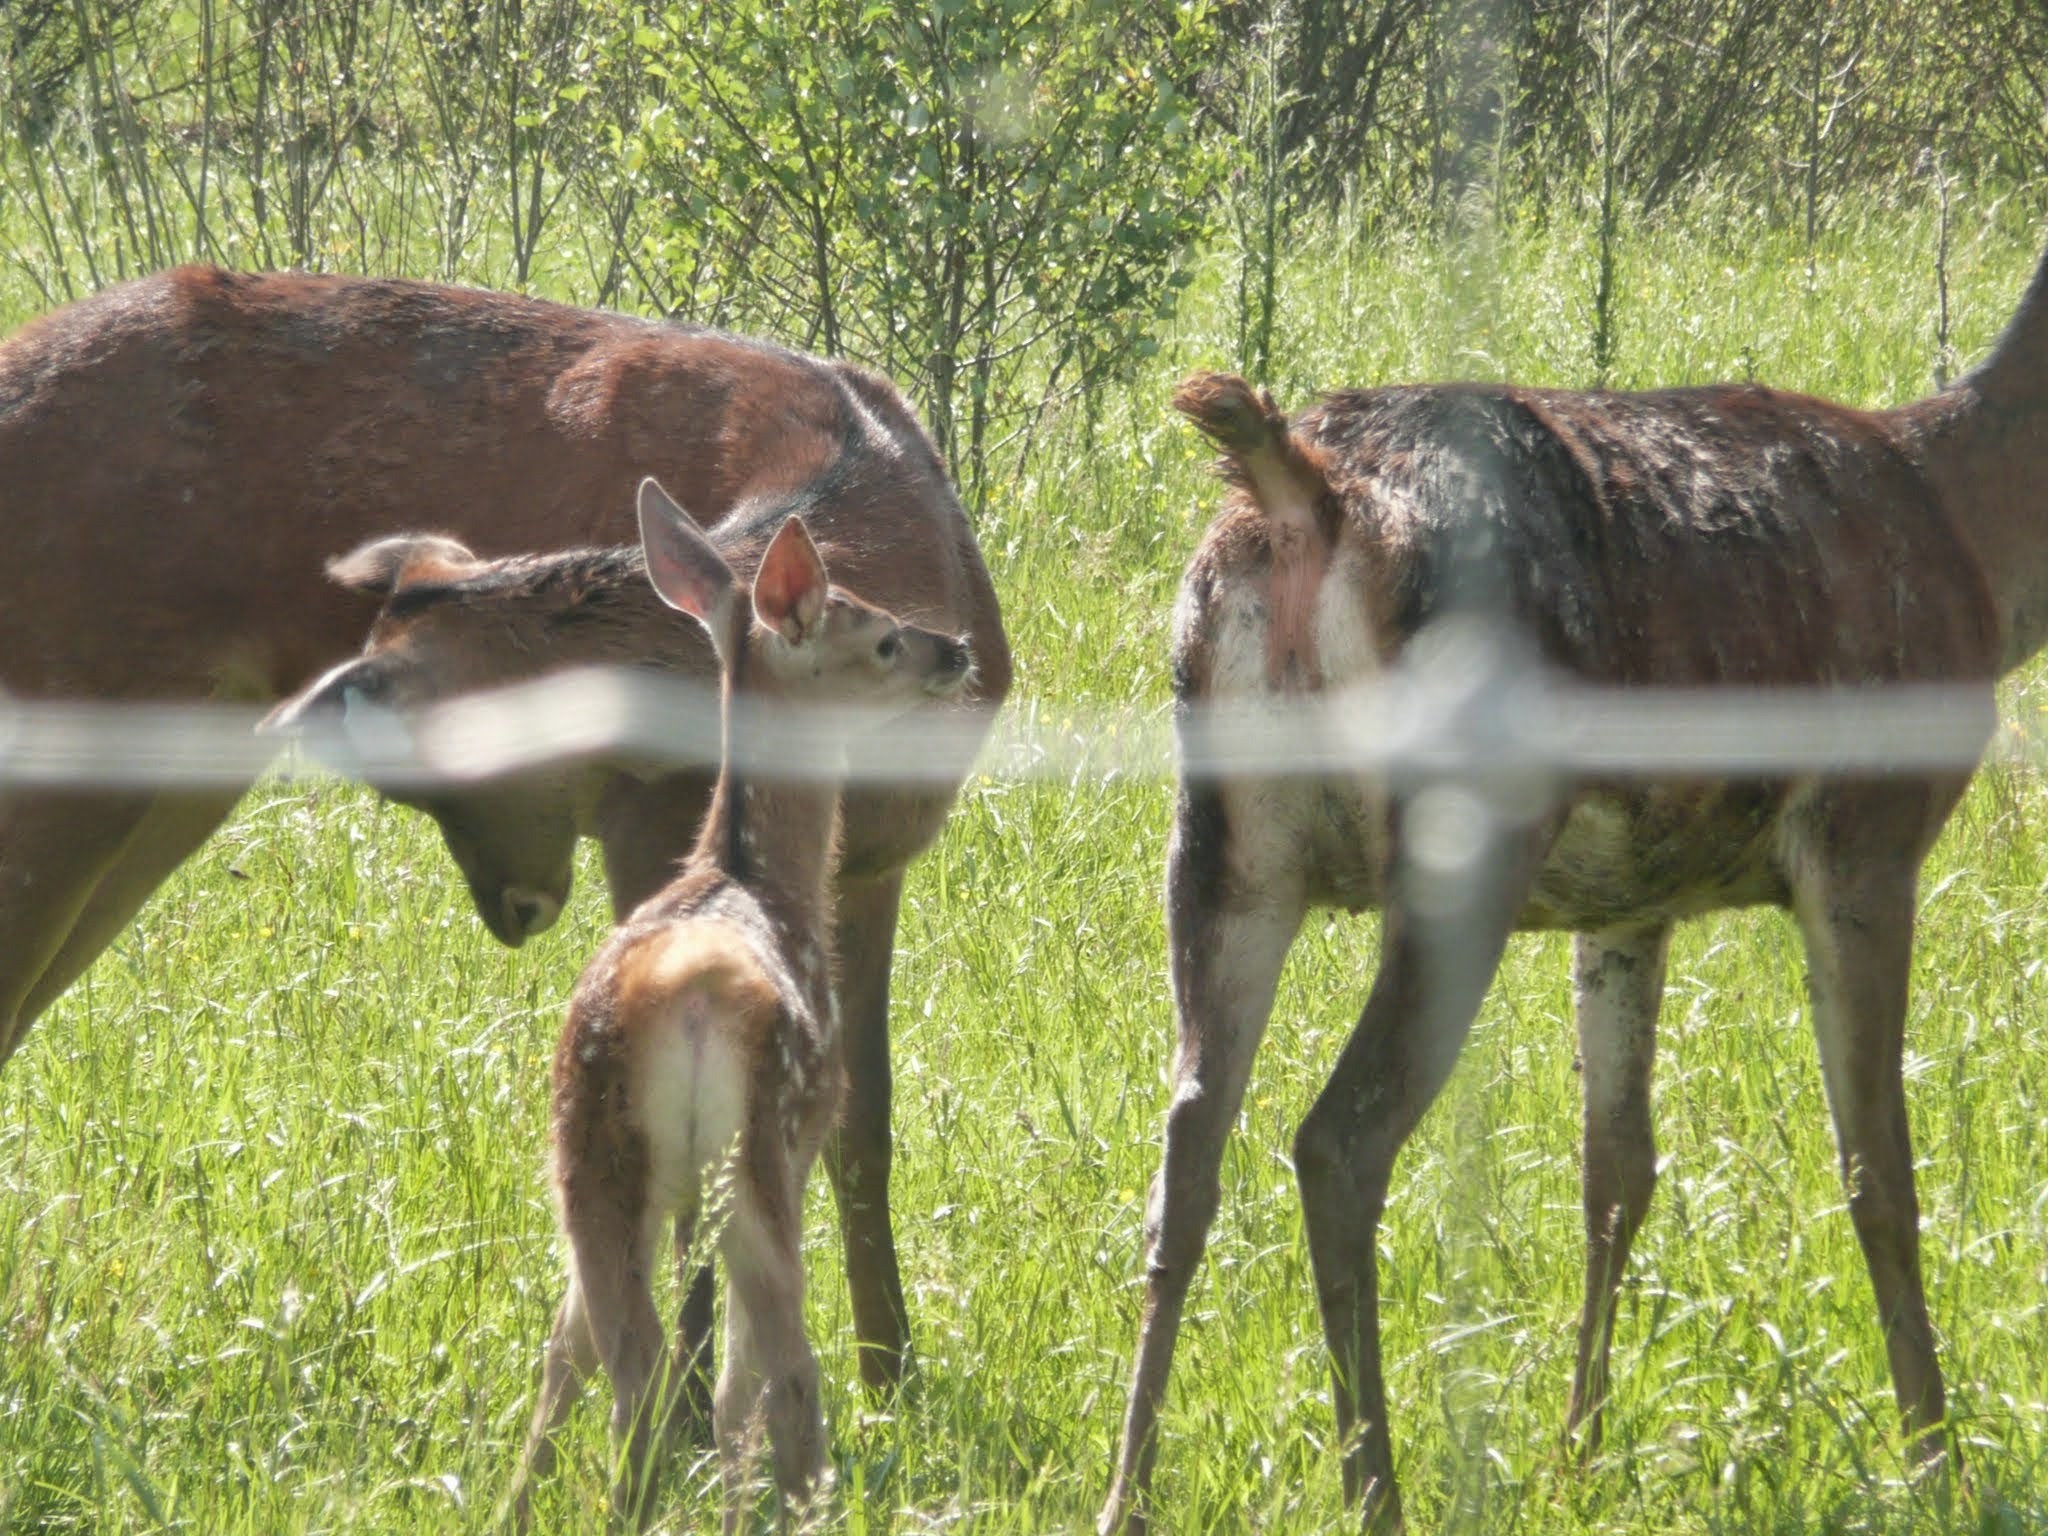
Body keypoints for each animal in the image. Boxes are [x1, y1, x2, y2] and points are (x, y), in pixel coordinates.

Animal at [505, 479, 974, 1531]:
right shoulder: (805, 1133)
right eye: (883, 638)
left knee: (614, 1372)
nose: (954, 649)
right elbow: (746, 1380)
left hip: (589, 1158)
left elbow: (575, 1353)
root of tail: (679, 1001)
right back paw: (802, 1498)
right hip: (755, 1152)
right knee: (779, 1372)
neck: (756, 875)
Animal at [1105, 237, 2048, 1531]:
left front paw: (1577, 1455)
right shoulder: (1869, 833)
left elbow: (1615, 1172)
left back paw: (1127, 1493)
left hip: (1217, 840)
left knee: (1187, 1139)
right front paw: (1934, 1462)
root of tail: (1300, 495)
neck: (1974, 531)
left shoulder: (1627, 901)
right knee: (1336, 1139)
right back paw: (1374, 1490)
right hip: (1461, 837)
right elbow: (1877, 1173)